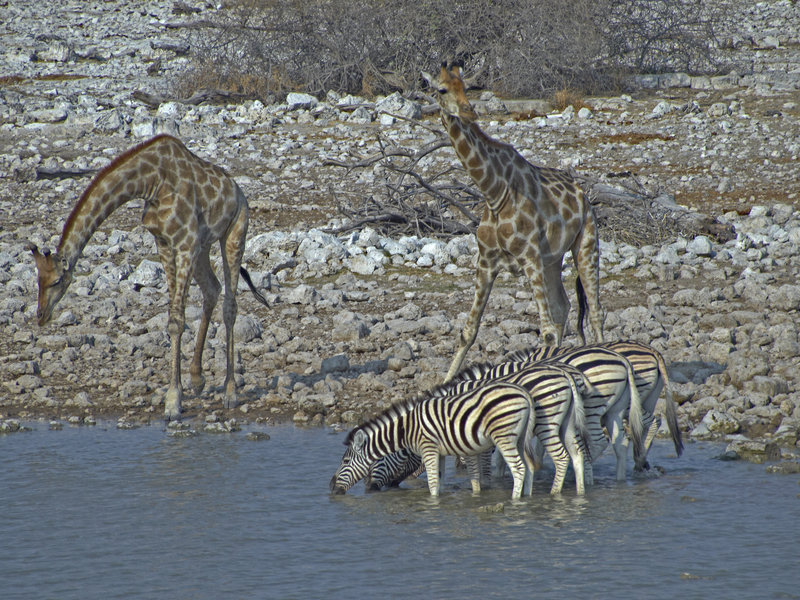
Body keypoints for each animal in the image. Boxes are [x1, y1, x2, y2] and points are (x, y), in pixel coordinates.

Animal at [28, 134, 269, 420]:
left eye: (56, 281)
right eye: (37, 280)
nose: (41, 316)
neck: (151, 182)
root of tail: (238, 191)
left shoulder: (185, 243)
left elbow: (177, 320)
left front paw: (173, 401)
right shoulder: (164, 243)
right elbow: (173, 318)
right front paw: (178, 393)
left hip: (234, 232)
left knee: (230, 305)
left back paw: (230, 392)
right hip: (203, 247)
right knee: (212, 288)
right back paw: (197, 378)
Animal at [329, 380, 536, 499]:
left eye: (345, 461)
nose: (331, 487)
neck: (407, 429)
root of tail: (524, 392)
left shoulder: (428, 448)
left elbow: (432, 483)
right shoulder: (440, 452)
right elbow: (440, 480)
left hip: (504, 437)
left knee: (519, 468)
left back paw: (515, 500)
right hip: (519, 438)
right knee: (529, 467)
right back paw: (527, 497)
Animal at [426, 63, 604, 382]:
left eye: (467, 88)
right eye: (442, 89)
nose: (469, 112)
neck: (494, 192)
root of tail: (582, 195)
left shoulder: (529, 257)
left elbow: (545, 331)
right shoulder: (486, 262)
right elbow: (468, 330)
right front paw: (445, 383)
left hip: (586, 244)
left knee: (594, 312)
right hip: (552, 260)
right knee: (563, 308)